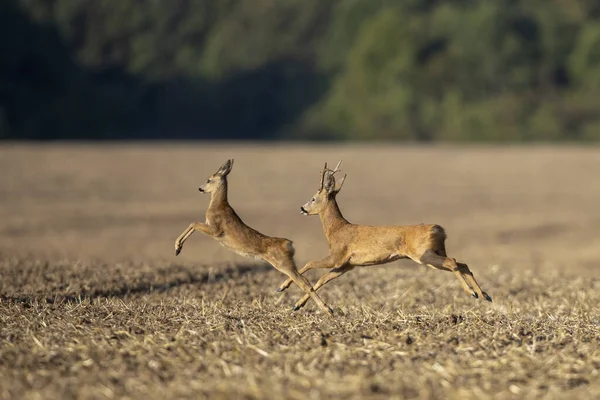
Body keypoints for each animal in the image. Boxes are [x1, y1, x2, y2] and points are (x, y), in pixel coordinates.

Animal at [173, 158, 336, 318]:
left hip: (282, 263)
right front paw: (178, 249)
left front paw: (177, 247)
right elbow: (193, 225)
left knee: (305, 282)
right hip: (287, 263)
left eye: (208, 180)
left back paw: (327, 310)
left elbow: (193, 223)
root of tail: (289, 244)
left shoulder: (216, 230)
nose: (200, 189)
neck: (217, 206)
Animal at [278, 161, 492, 310]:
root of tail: (439, 229)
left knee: (453, 262)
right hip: (436, 252)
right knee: (462, 263)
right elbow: (322, 279)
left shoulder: (337, 256)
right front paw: (297, 305)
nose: (302, 208)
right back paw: (484, 295)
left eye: (313, 198)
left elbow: (309, 264)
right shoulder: (348, 265)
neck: (336, 229)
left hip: (424, 254)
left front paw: (282, 287)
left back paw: (472, 293)